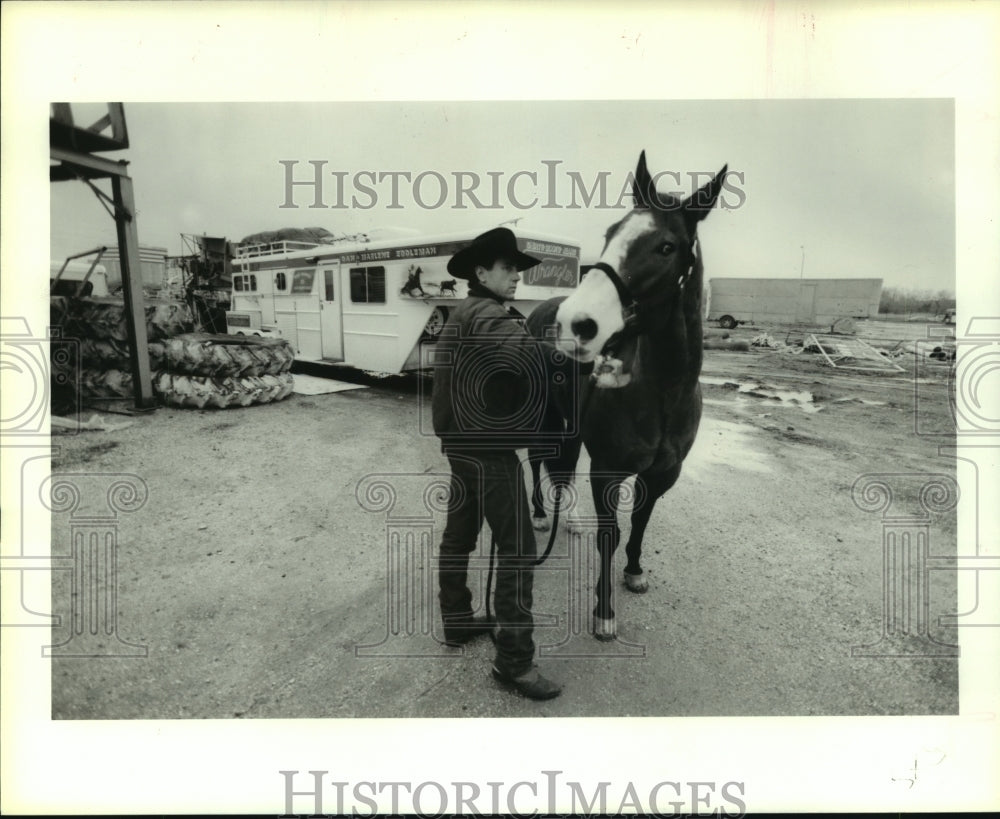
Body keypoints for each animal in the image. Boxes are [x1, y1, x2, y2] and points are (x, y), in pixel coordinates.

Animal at [524, 152, 728, 640]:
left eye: (666, 247)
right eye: (610, 233)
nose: (576, 323)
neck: (663, 394)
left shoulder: (663, 472)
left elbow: (640, 520)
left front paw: (634, 571)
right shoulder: (608, 470)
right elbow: (610, 535)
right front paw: (603, 612)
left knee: (560, 466)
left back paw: (568, 519)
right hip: (544, 416)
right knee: (539, 459)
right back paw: (540, 513)